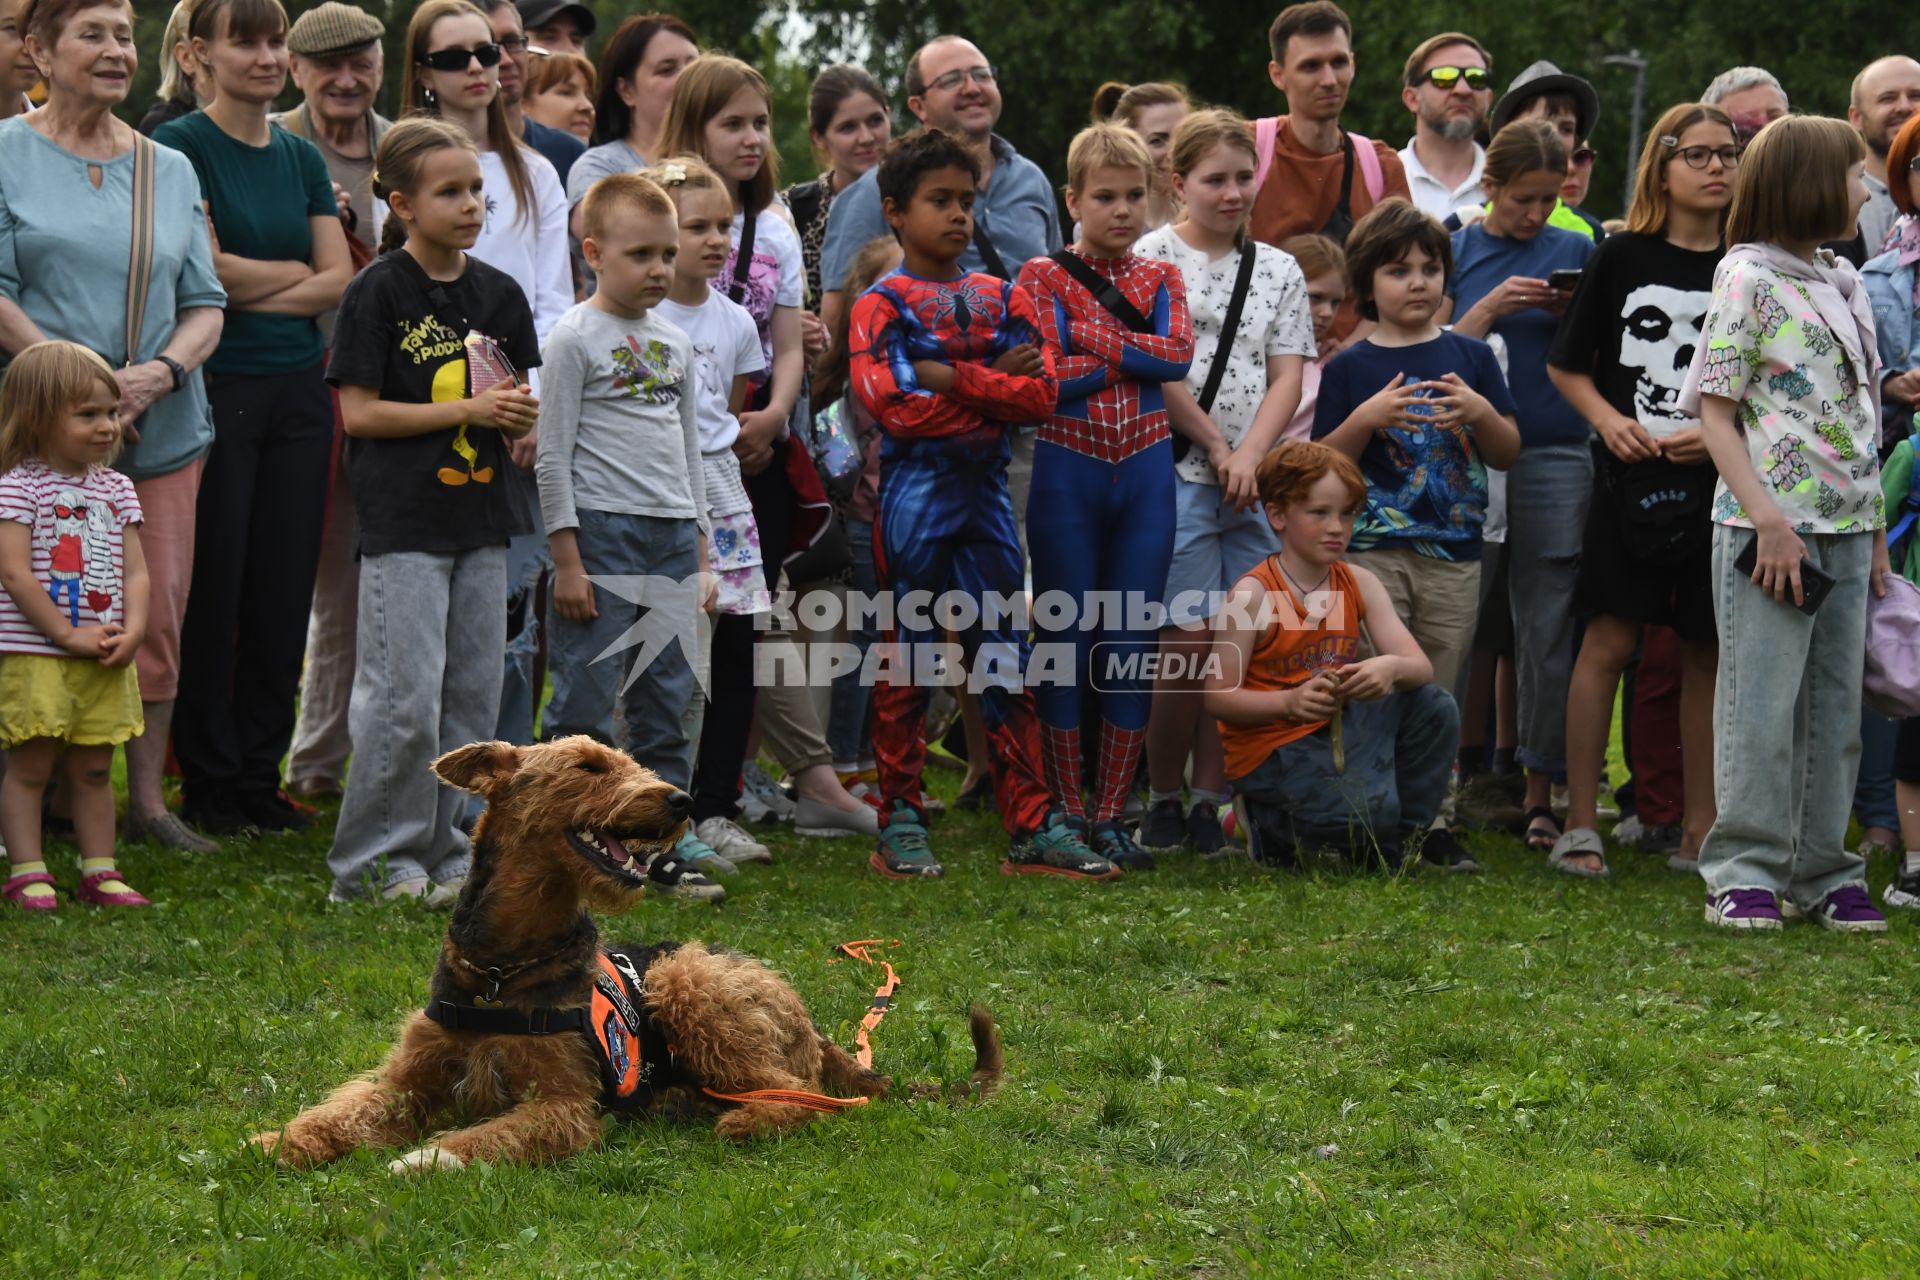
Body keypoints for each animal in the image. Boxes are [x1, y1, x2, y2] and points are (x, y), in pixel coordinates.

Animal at [255, 736, 1006, 1174]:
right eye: (588, 766)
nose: (682, 799)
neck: (502, 969)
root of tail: (810, 1021)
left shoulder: (563, 1104)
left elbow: (483, 1136)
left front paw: (427, 1158)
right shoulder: (409, 1081)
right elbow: (339, 1111)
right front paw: (279, 1143)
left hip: (686, 981)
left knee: (806, 1097)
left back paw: (744, 1121)